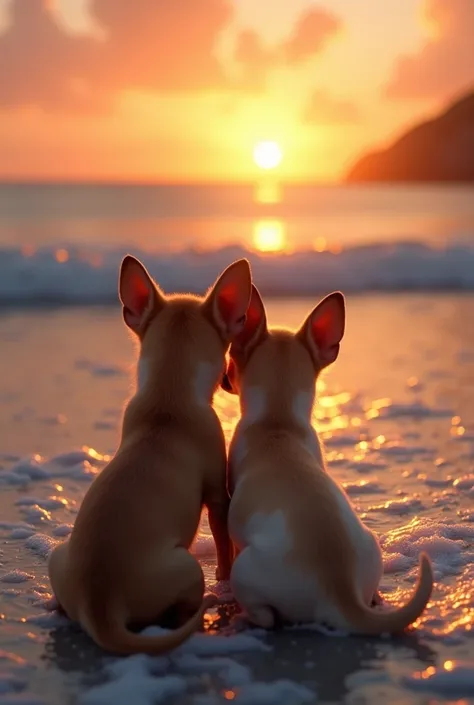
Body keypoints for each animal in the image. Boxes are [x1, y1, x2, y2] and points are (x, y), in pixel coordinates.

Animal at [48, 254, 254, 656]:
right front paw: (225, 576)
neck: (167, 394)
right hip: (186, 566)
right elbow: (223, 542)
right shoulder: (216, 496)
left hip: (58, 555)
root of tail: (101, 608)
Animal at [222, 284, 434, 632]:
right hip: (370, 546)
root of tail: (340, 592)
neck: (278, 422)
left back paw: (244, 617)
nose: (224, 379)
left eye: (230, 361)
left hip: (245, 570)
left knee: (266, 616)